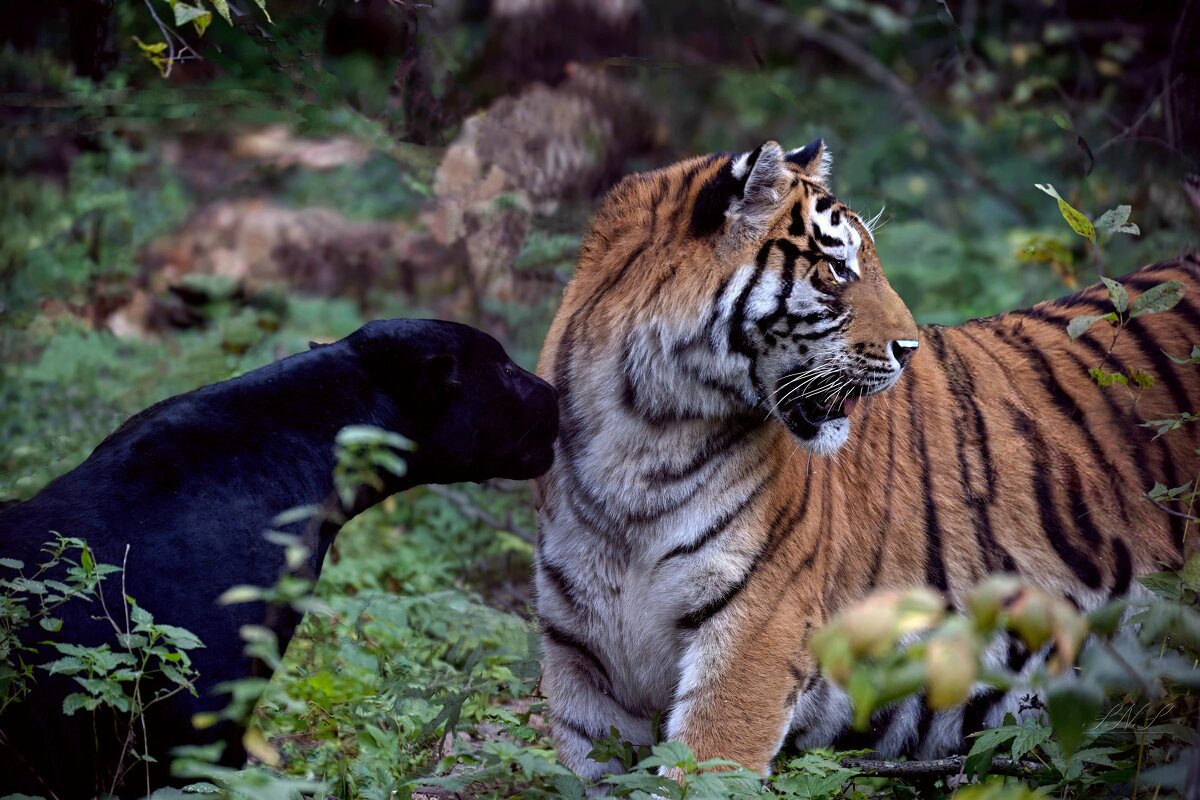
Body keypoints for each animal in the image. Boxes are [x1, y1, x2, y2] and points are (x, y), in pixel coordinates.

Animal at [535, 139, 1200, 782]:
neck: (641, 438)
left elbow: (702, 774)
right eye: (835, 267)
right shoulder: (585, 667)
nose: (909, 348)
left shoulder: (751, 638)